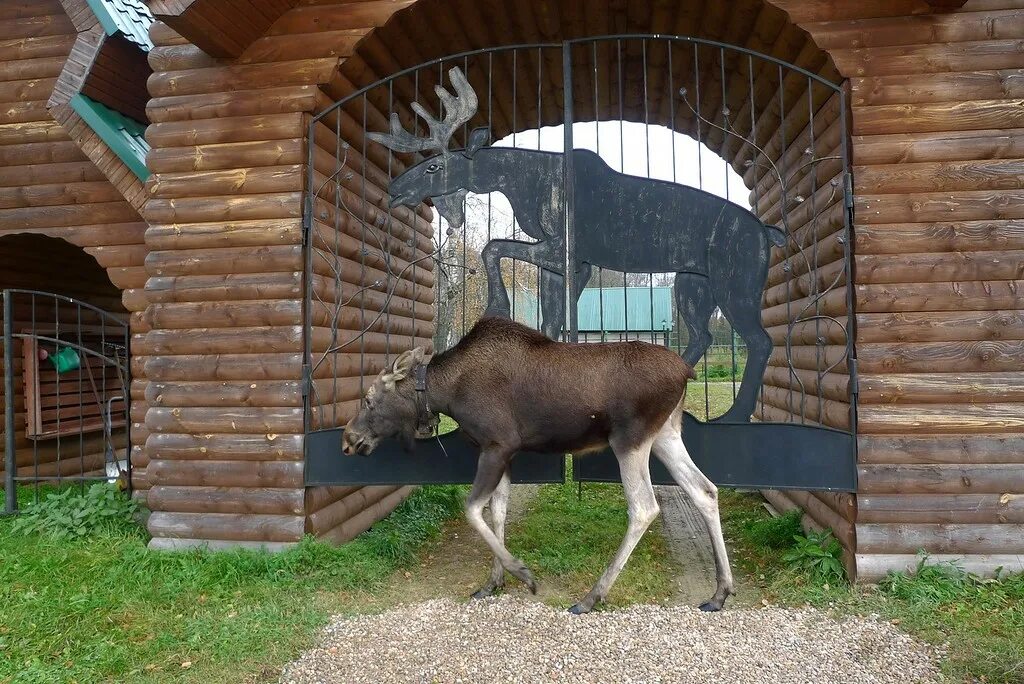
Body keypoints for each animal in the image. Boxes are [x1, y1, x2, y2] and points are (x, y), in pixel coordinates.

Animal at [344, 317, 737, 614]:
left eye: (369, 399)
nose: (348, 438)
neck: (446, 392)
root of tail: (687, 372)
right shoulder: (505, 454)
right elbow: (497, 511)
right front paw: (493, 582)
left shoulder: (497, 445)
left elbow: (472, 509)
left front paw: (523, 573)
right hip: (666, 434)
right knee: (705, 490)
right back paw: (719, 592)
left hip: (630, 439)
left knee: (644, 507)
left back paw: (591, 597)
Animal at [370, 66, 782, 423]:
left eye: (434, 167)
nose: (394, 188)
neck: (521, 182)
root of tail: (768, 234)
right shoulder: (569, 263)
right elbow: (550, 320)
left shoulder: (566, 252)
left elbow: (493, 247)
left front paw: (497, 307)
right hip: (692, 284)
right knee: (702, 335)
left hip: (735, 284)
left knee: (760, 341)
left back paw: (734, 415)